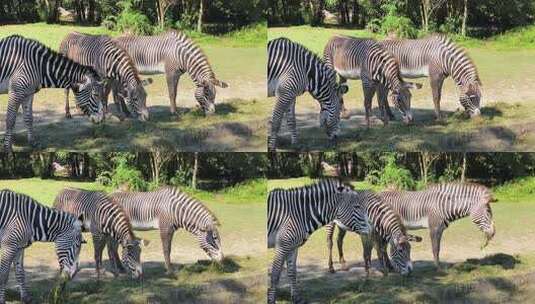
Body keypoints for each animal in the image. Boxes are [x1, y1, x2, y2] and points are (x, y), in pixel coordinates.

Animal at [332, 183, 496, 270]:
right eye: (488, 212)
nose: (493, 234)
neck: (443, 205)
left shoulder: (441, 229)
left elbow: (438, 247)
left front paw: (438, 265)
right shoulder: (434, 228)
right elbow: (435, 248)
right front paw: (438, 267)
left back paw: (390, 267)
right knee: (381, 246)